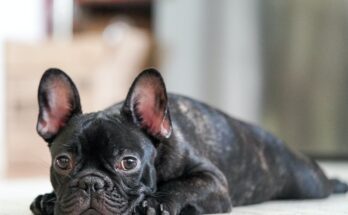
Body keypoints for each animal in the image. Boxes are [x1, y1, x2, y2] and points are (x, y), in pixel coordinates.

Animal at [31, 68, 346, 214]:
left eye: (128, 162)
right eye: (62, 162)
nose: (91, 183)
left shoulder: (212, 181)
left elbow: (181, 185)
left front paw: (155, 203)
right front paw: (47, 199)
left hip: (307, 183)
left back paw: (338, 183)